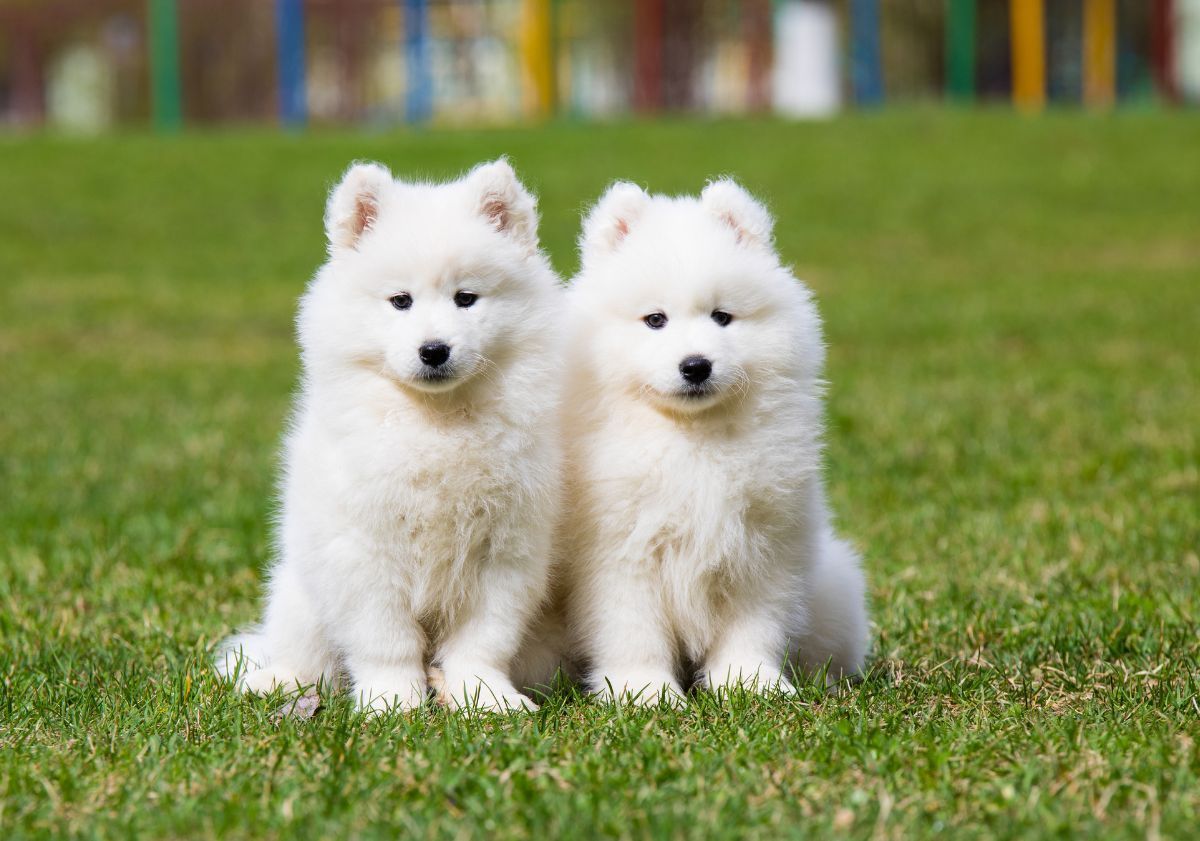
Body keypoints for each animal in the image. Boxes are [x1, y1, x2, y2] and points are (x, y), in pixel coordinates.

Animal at [218, 157, 564, 710]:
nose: (434, 349)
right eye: (400, 301)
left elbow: (482, 641)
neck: (436, 421)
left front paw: (486, 698)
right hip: (300, 595)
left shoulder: (504, 553)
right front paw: (393, 703)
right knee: (307, 658)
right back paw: (273, 681)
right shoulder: (364, 551)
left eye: (466, 298)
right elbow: (387, 641)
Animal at [552, 178, 873, 700]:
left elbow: (753, 627)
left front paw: (751, 685)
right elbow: (632, 631)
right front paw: (646, 693)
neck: (691, 437)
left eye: (722, 317)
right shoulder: (620, 552)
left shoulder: (761, 545)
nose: (696, 365)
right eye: (655, 320)